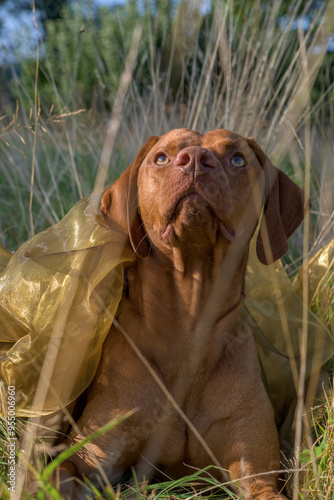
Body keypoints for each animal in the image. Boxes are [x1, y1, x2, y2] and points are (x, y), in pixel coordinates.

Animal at [55, 130, 308, 500]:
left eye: (237, 159)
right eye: (161, 157)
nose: (195, 160)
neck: (189, 327)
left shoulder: (257, 473)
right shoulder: (92, 458)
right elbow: (59, 475)